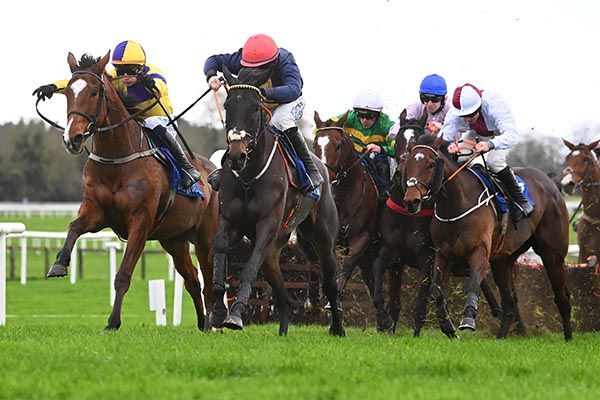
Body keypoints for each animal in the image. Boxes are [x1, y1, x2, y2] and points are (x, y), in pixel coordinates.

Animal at [46, 52, 220, 332]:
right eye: (68, 93)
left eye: (94, 92)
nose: (72, 138)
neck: (116, 158)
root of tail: (212, 170)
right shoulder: (97, 213)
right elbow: (74, 226)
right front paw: (59, 263)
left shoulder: (140, 220)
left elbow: (124, 274)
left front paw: (112, 322)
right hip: (174, 239)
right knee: (193, 279)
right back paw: (203, 323)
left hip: (205, 237)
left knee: (207, 279)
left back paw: (214, 324)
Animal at [209, 67, 344, 336]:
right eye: (227, 105)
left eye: (255, 108)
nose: (237, 156)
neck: (249, 176)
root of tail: (322, 167)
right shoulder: (230, 222)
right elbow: (220, 248)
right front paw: (219, 311)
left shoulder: (267, 226)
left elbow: (249, 268)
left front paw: (235, 316)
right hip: (274, 250)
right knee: (282, 291)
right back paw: (283, 328)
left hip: (322, 238)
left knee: (330, 279)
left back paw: (337, 326)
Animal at [372, 110, 504, 338]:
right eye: (397, 141)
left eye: (417, 137)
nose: (400, 175)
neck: (406, 215)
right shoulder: (391, 254)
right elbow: (379, 283)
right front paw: (387, 323)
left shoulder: (427, 257)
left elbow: (422, 301)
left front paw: (418, 332)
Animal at [404, 136, 572, 340]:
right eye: (408, 163)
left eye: (430, 164)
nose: (411, 201)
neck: (456, 203)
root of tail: (551, 184)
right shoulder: (443, 254)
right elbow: (436, 290)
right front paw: (448, 327)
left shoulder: (479, 252)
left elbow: (473, 283)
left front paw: (467, 320)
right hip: (503, 261)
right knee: (510, 302)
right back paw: (501, 337)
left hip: (552, 255)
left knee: (561, 298)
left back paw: (568, 338)